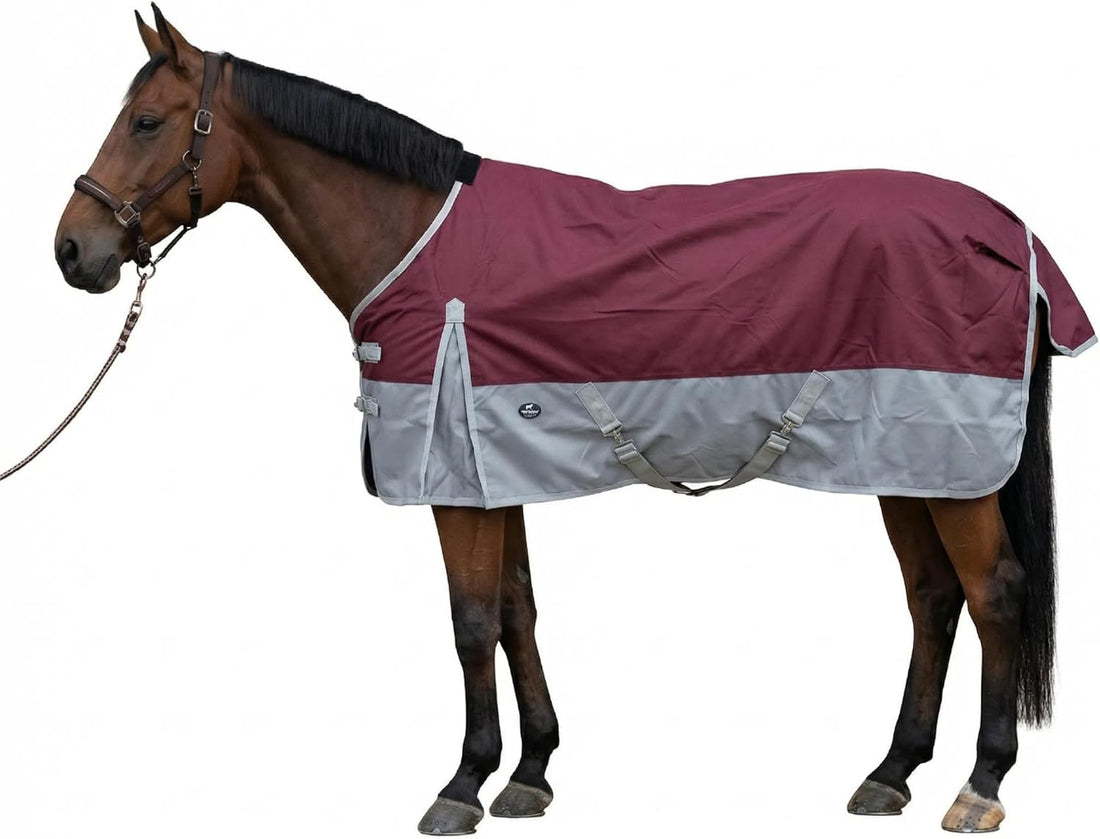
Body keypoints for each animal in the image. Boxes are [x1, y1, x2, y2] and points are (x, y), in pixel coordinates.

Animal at [51, 6, 1095, 835]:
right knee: (933, 595)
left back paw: (980, 783)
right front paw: (531, 772)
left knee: (995, 591)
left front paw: (462, 784)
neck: (416, 241)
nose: (72, 251)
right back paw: (891, 772)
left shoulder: (454, 478)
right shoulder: (490, 467)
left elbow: (471, 620)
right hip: (908, 461)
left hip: (949, 463)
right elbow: (517, 609)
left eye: (146, 121)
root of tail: (1009, 230)